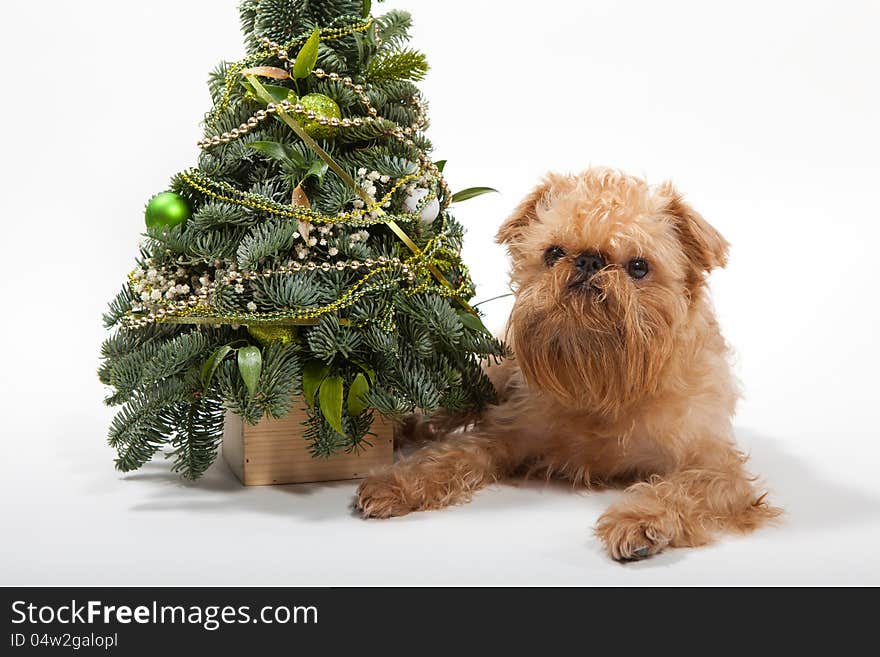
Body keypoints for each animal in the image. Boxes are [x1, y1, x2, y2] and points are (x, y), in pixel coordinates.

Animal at [354, 168, 780, 560]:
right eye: (554, 254)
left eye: (639, 267)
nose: (589, 260)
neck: (604, 387)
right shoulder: (505, 433)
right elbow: (451, 454)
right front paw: (399, 482)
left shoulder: (718, 470)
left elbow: (679, 491)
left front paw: (639, 520)